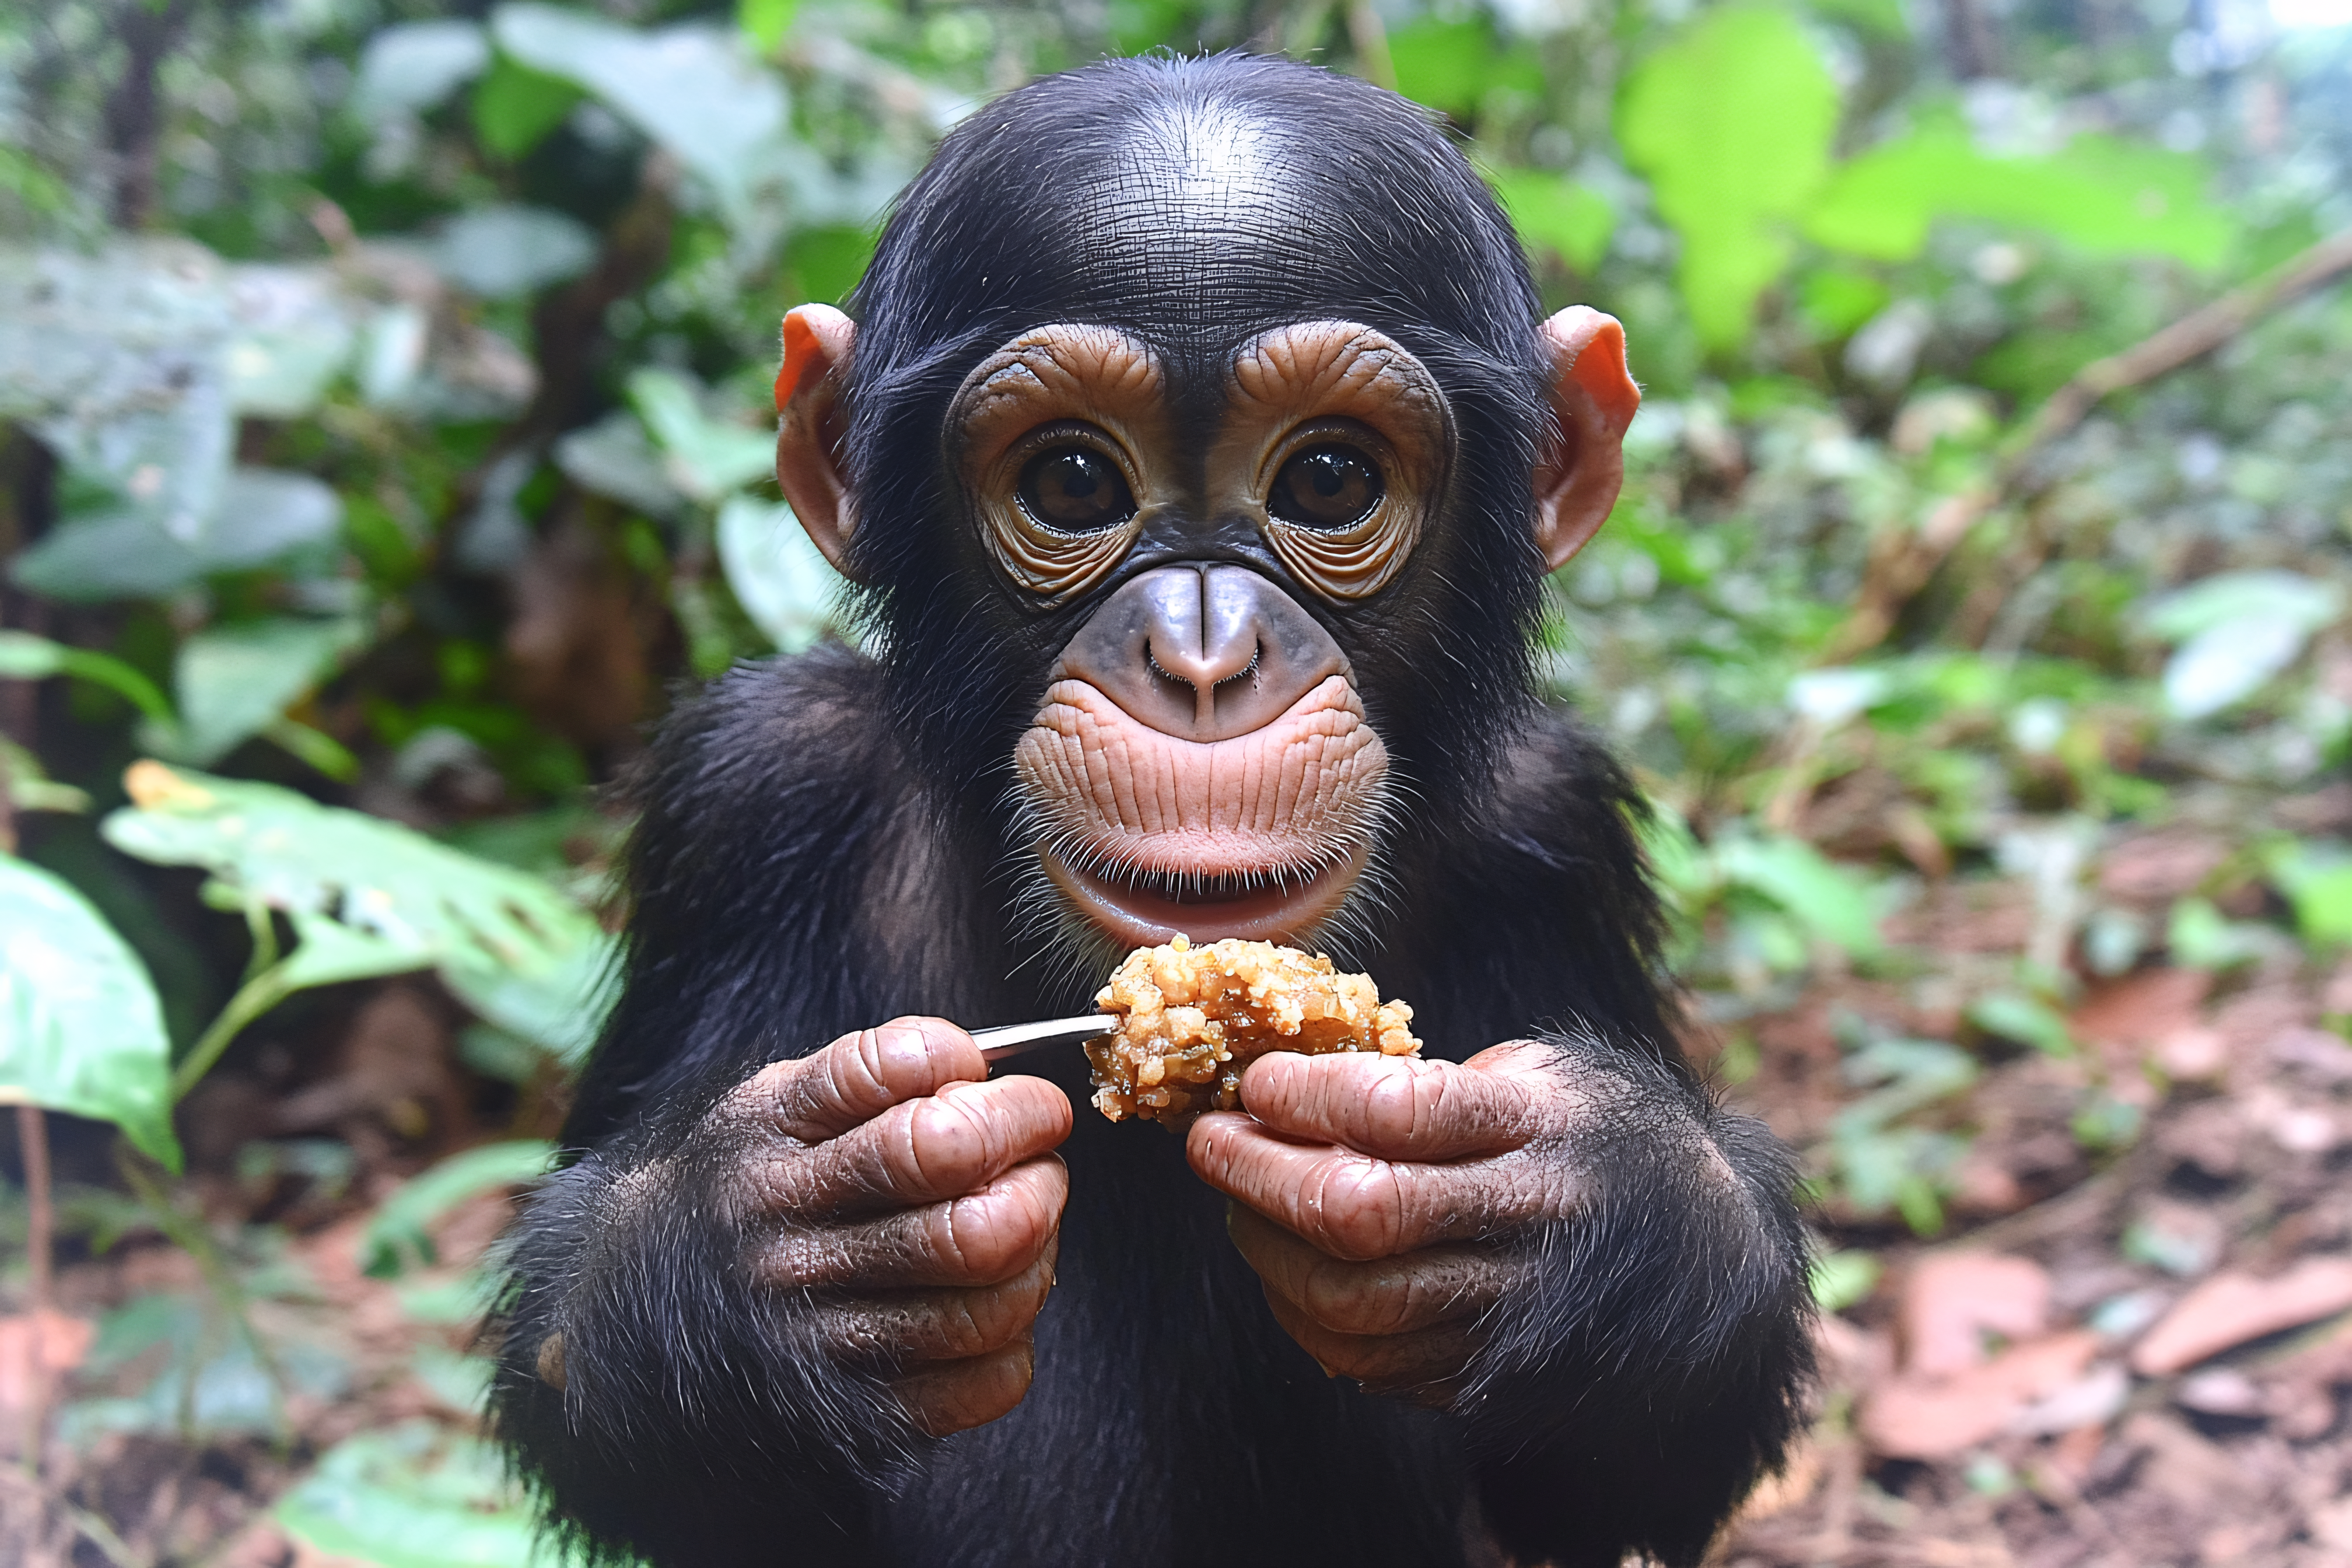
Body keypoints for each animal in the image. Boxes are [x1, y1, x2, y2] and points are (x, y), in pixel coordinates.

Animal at [490, 52, 1813, 1568]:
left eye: (1330, 479)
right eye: (1071, 482)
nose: (1200, 655)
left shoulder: (1560, 834)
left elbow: (1611, 1484)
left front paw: (1592, 1207)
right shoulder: (749, 792)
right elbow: (596, 1400)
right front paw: (766, 1256)